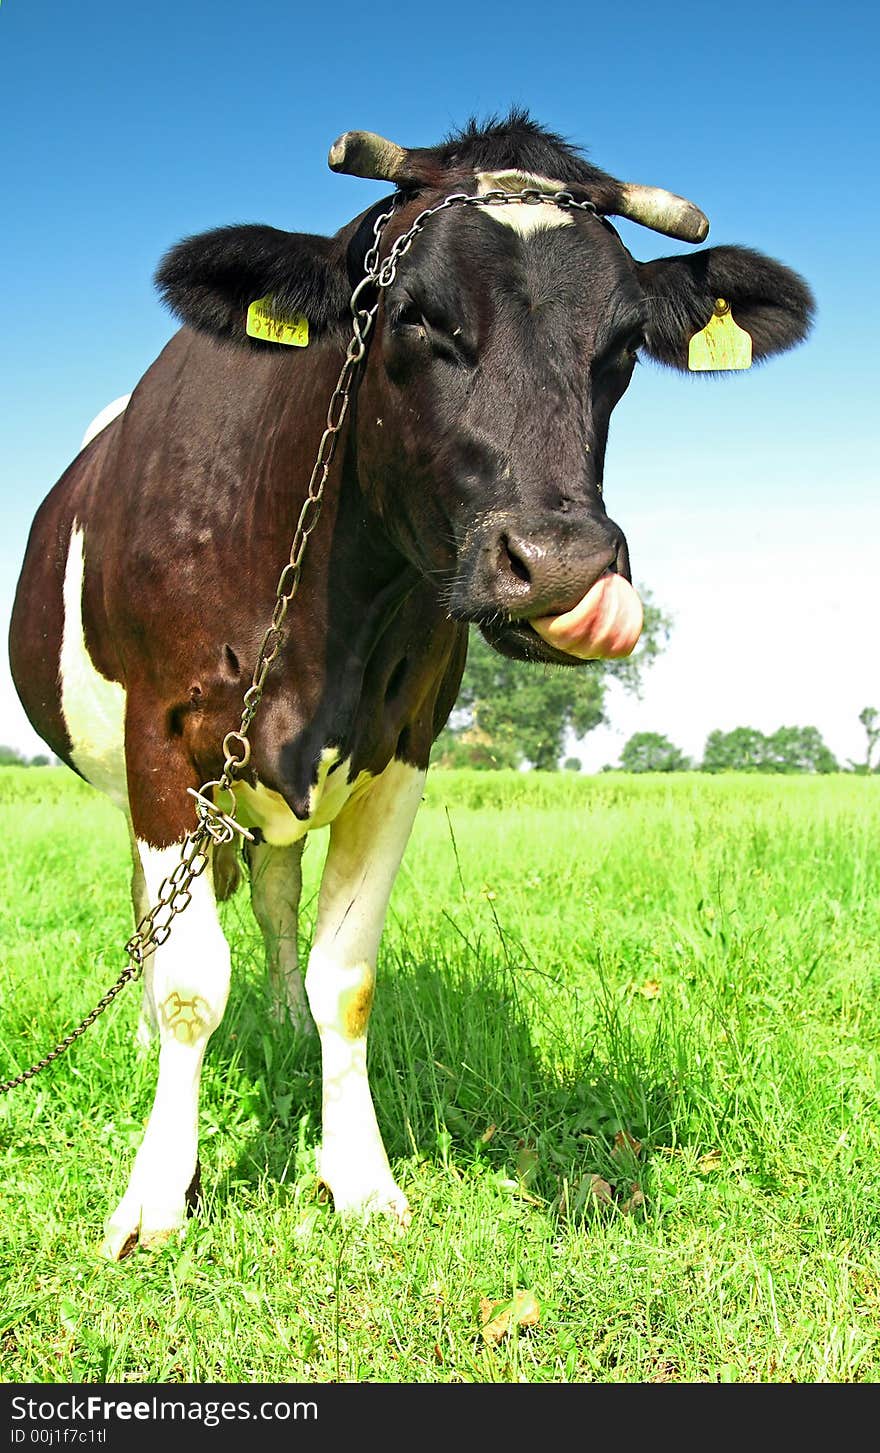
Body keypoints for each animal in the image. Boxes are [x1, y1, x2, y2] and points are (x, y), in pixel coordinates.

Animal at [6, 113, 819, 1255]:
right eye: (411, 316)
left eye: (620, 345)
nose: (563, 565)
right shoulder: (161, 743)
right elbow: (185, 984)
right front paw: (159, 1194)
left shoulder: (402, 747)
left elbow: (344, 977)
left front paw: (357, 1174)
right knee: (153, 913)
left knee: (273, 893)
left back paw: (278, 1019)